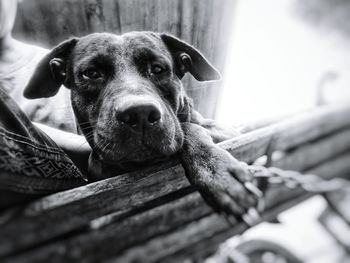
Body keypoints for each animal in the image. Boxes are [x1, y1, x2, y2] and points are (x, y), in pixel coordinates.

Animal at [23, 32, 260, 224]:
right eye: (91, 73)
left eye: (158, 69)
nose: (139, 113)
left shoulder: (223, 130)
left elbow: (189, 128)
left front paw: (218, 173)